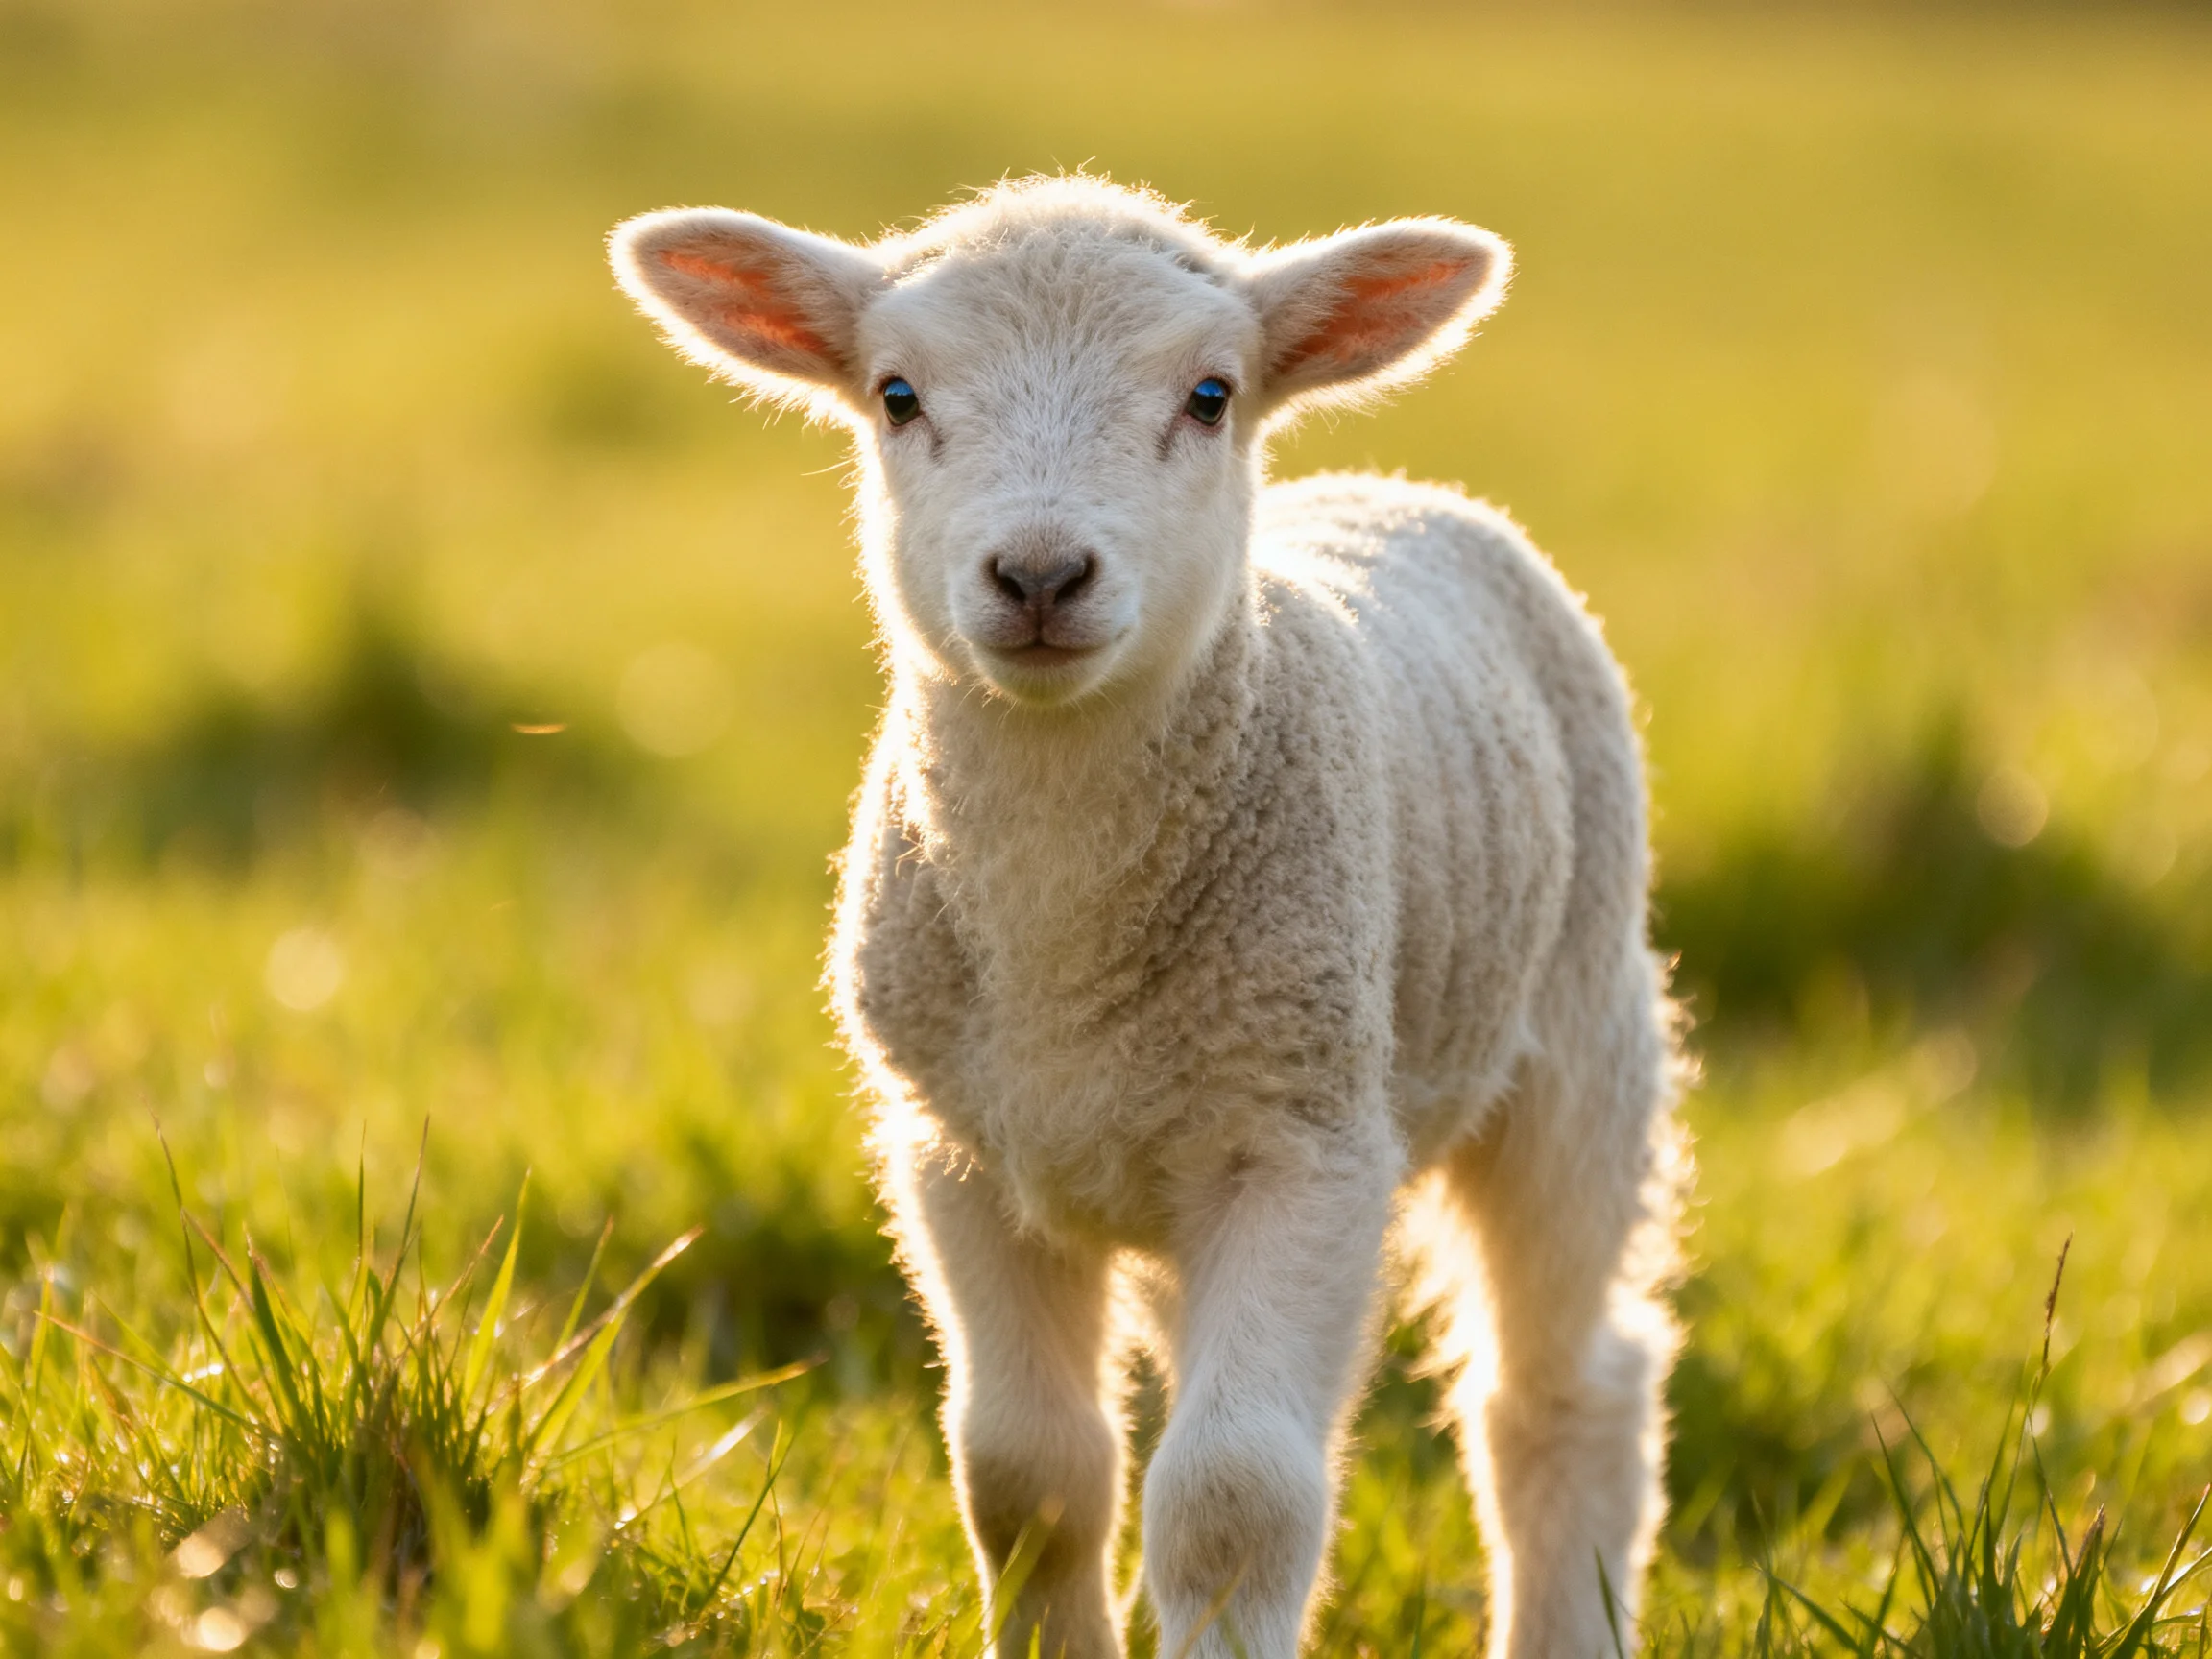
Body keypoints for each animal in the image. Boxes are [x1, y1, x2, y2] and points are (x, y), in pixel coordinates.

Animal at [609, 175, 1684, 1659]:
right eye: (896, 394)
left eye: (1211, 395)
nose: (1040, 576)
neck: (1065, 935)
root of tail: (1399, 491)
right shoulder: (954, 1153)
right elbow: (1027, 1471)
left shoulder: (1304, 1142)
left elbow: (1235, 1496)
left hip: (1581, 1036)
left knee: (1565, 1388)